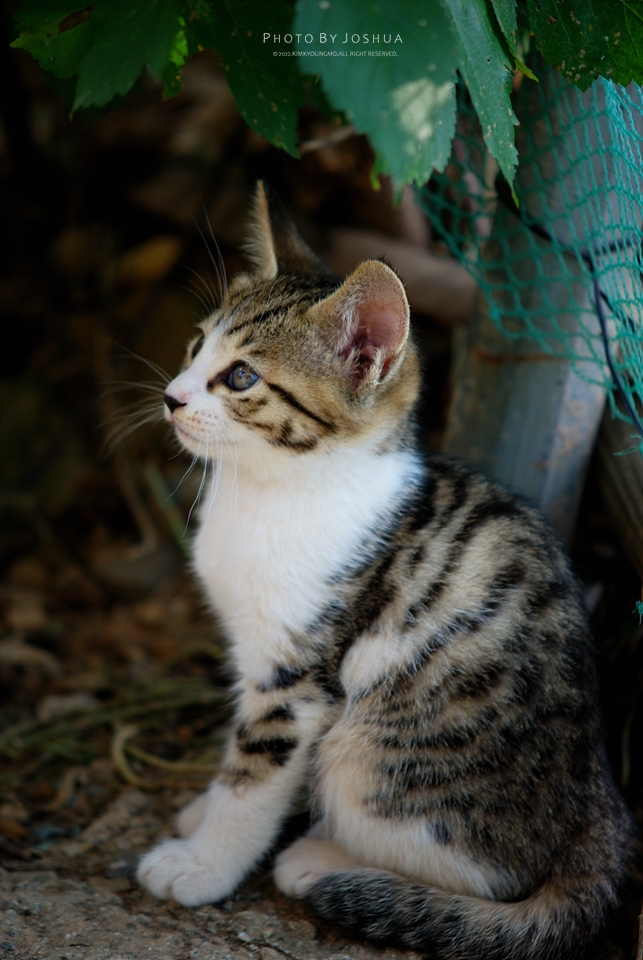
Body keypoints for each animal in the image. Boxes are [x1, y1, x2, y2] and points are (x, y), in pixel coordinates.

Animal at [137, 181, 634, 959]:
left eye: (241, 376)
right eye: (194, 346)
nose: (172, 397)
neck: (270, 489)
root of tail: (598, 802)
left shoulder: (299, 679)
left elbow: (256, 774)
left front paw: (204, 865)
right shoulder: (256, 652)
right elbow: (238, 757)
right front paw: (202, 814)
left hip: (370, 751)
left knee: (486, 870)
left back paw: (322, 861)